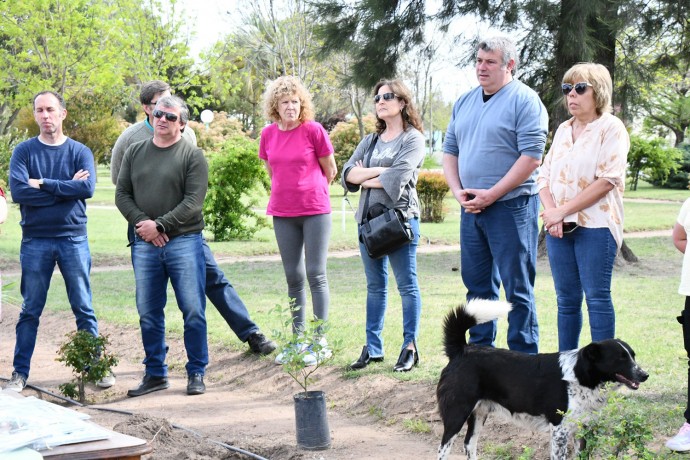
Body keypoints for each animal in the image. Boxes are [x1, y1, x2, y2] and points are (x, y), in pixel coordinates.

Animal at [436, 300, 644, 458]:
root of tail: (462, 350)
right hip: (457, 414)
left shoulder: (582, 428)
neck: (580, 376)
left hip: (479, 412)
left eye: (633, 356)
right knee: (443, 449)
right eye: (620, 358)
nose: (645, 375)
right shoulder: (559, 431)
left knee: (469, 444)